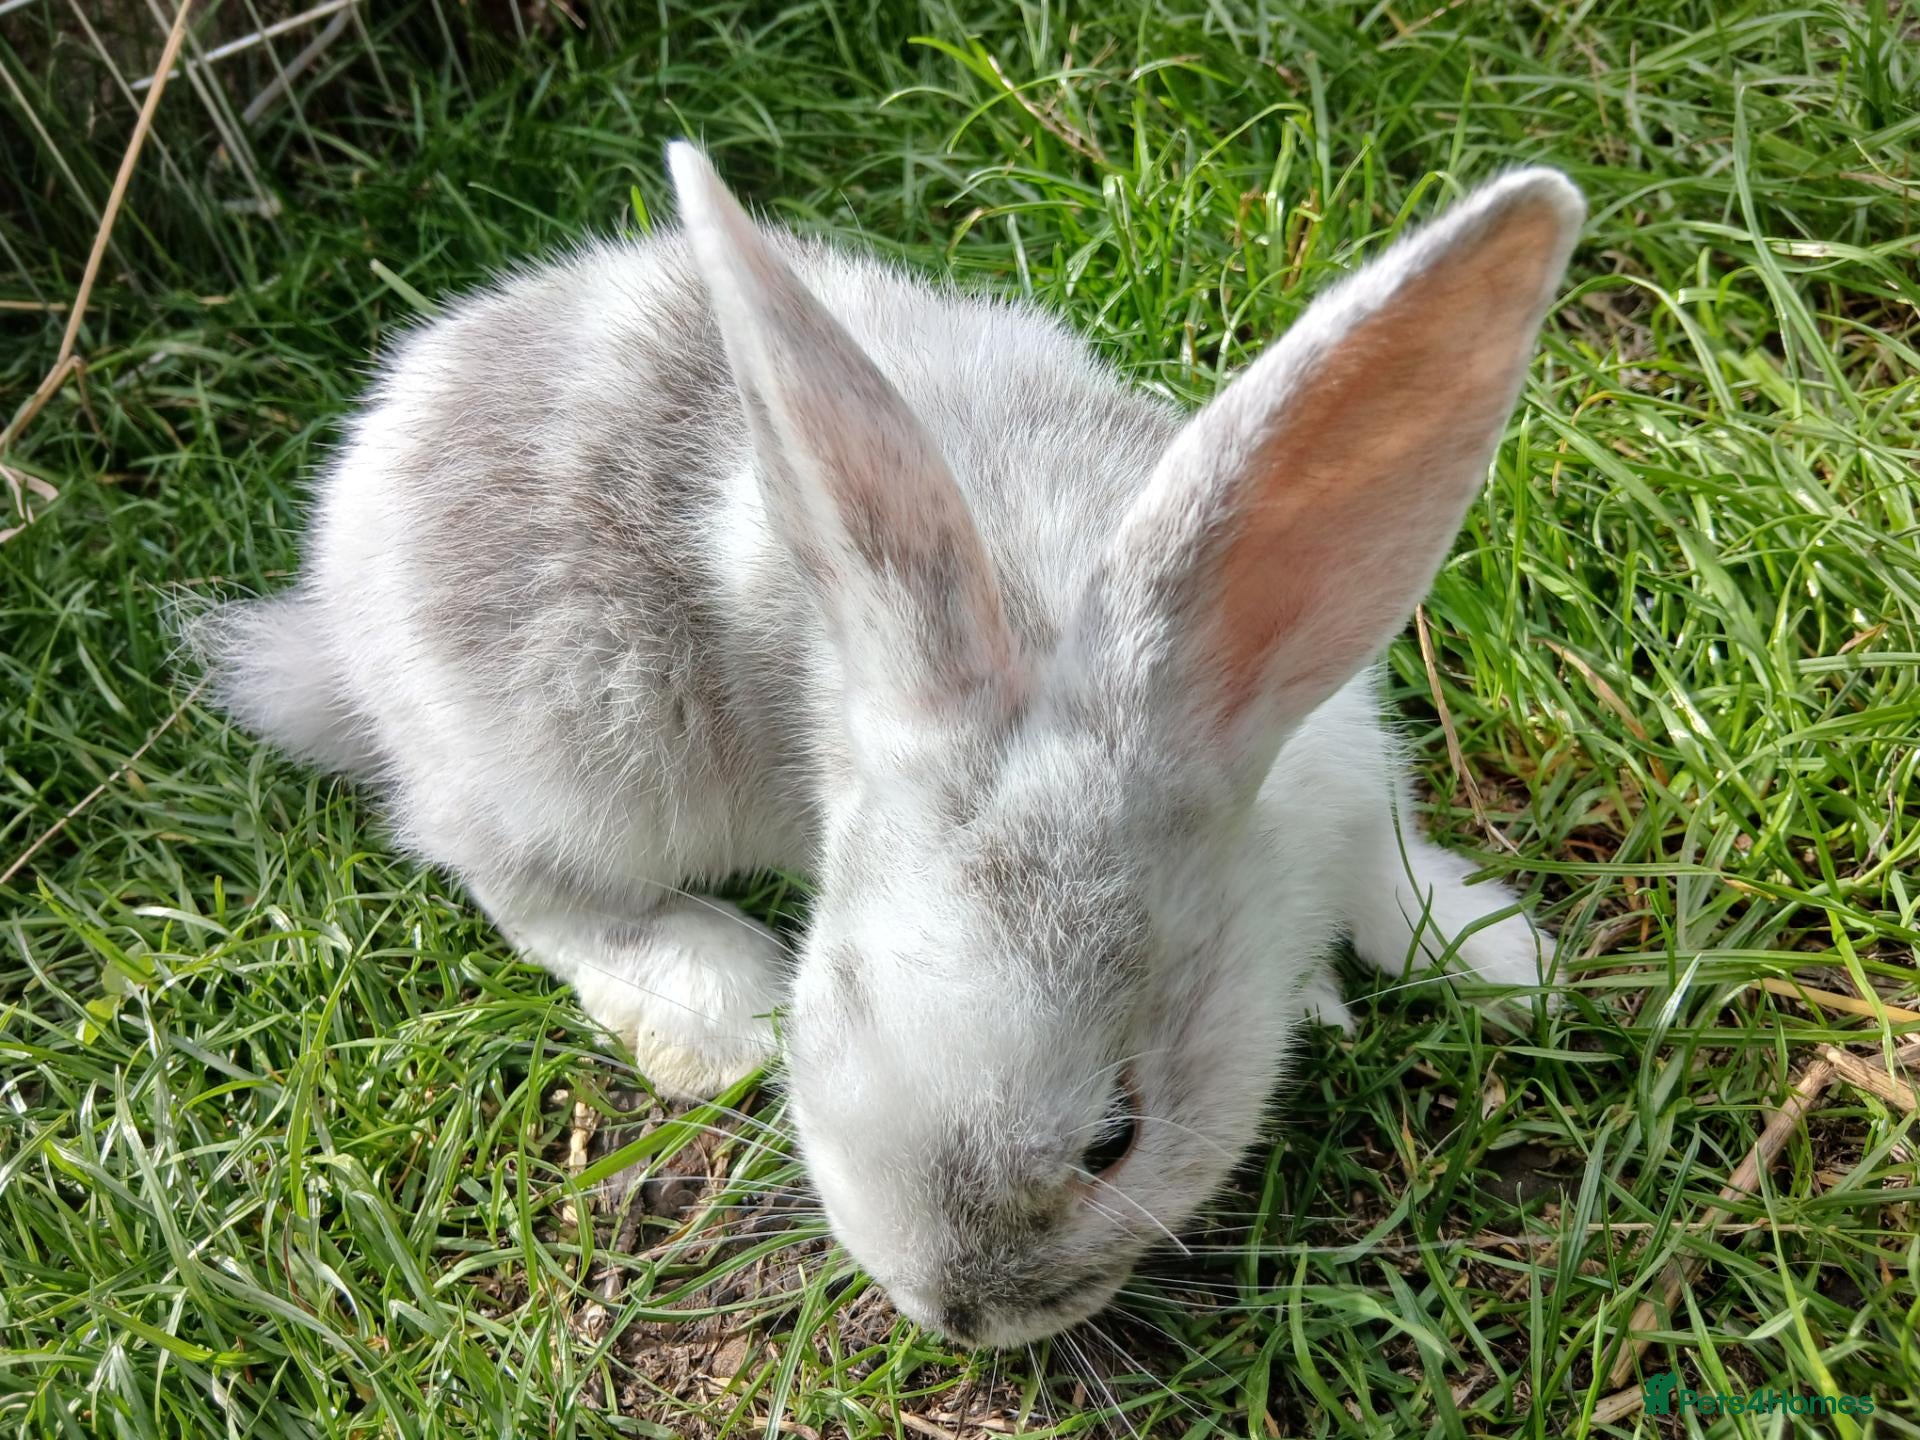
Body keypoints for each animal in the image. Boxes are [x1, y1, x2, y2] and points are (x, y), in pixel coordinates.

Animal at [188, 142, 1582, 1348]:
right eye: (831, 1018)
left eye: (1116, 1138)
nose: (947, 1311)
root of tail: (336, 614)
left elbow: (1396, 876)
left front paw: (1508, 965)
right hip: (592, 767)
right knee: (515, 881)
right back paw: (712, 1004)